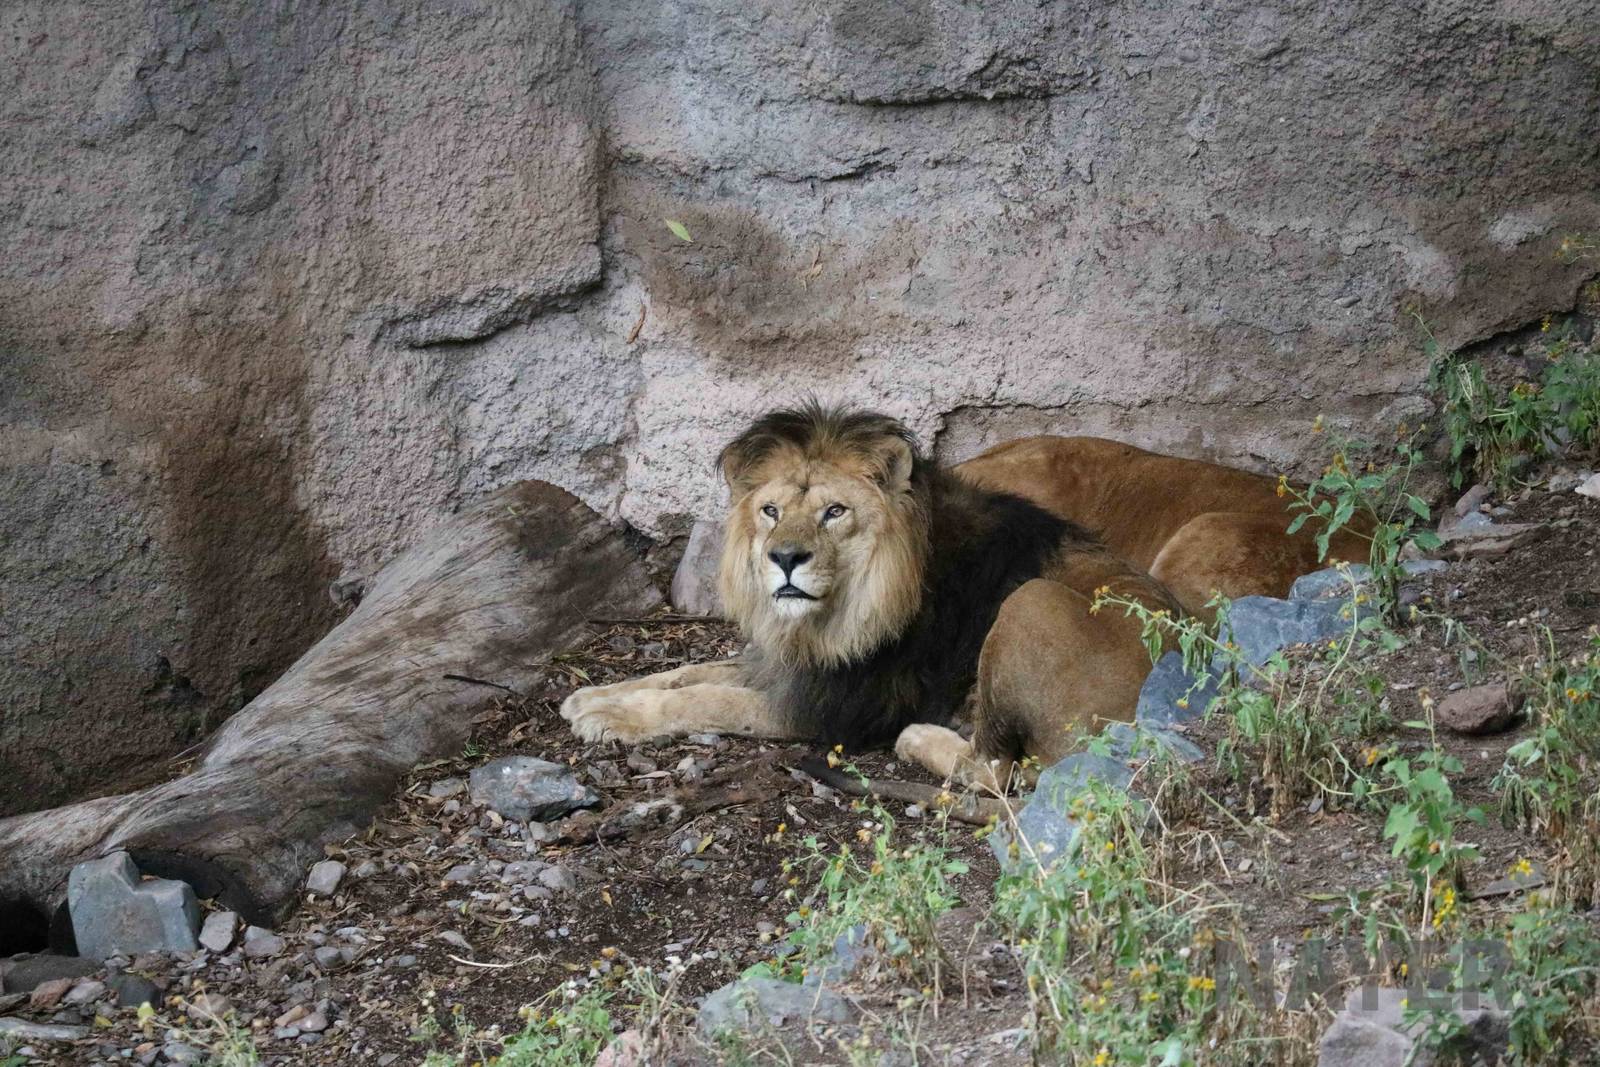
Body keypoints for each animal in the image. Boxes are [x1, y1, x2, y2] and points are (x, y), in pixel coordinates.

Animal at [560, 404, 1366, 789]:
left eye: (834, 512)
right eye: (769, 511)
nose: (783, 559)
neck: (829, 618)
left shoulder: (836, 706)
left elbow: (705, 698)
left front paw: (611, 719)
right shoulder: (790, 665)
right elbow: (686, 671)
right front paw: (593, 696)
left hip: (1033, 603)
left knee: (999, 771)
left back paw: (922, 738)